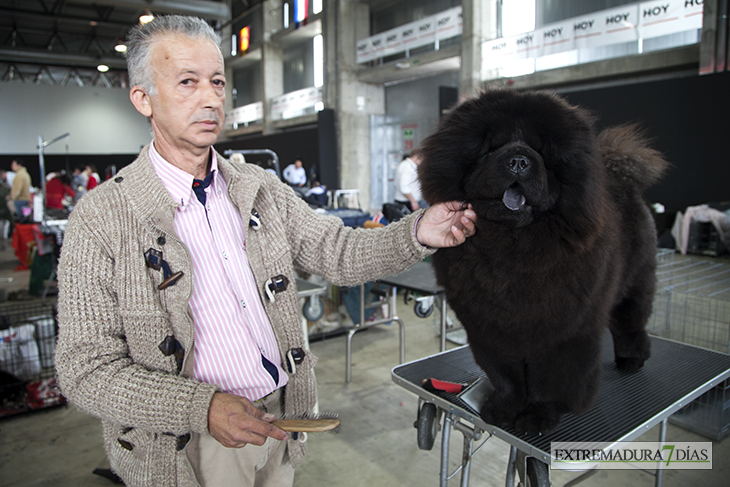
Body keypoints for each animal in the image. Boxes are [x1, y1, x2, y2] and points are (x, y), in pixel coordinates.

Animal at [418, 89, 668, 436]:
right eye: (491, 148)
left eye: (540, 151)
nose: (518, 161)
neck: (513, 249)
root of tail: (625, 182)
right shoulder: (488, 327)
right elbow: (504, 375)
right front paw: (503, 409)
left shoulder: (565, 330)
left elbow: (552, 379)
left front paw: (538, 415)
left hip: (636, 282)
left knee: (631, 323)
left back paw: (632, 360)